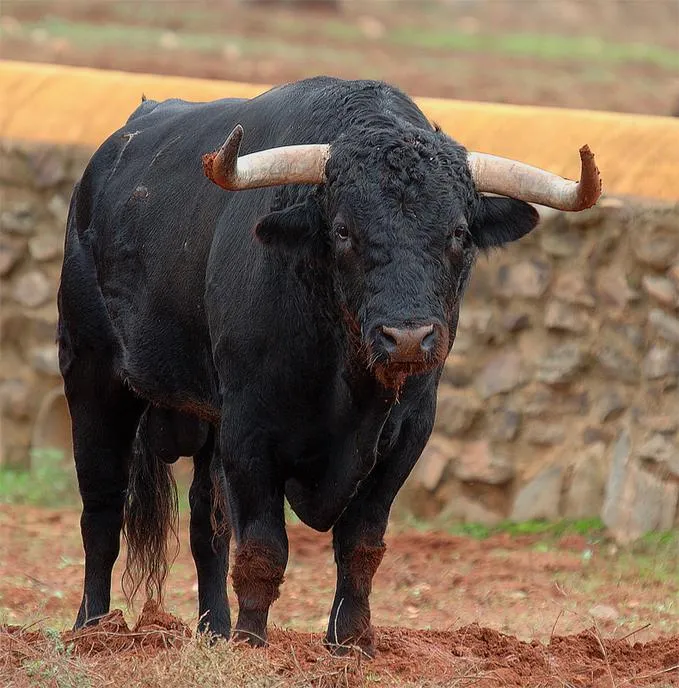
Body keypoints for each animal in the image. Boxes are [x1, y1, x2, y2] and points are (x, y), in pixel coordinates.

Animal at [58, 76, 600, 656]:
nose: (407, 338)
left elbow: (361, 544)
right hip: (91, 376)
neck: (348, 383)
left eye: (458, 232)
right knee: (102, 508)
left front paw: (351, 642)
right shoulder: (249, 431)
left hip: (204, 420)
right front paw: (252, 643)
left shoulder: (406, 436)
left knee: (207, 523)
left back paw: (213, 630)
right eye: (342, 230)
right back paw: (92, 627)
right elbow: (264, 546)